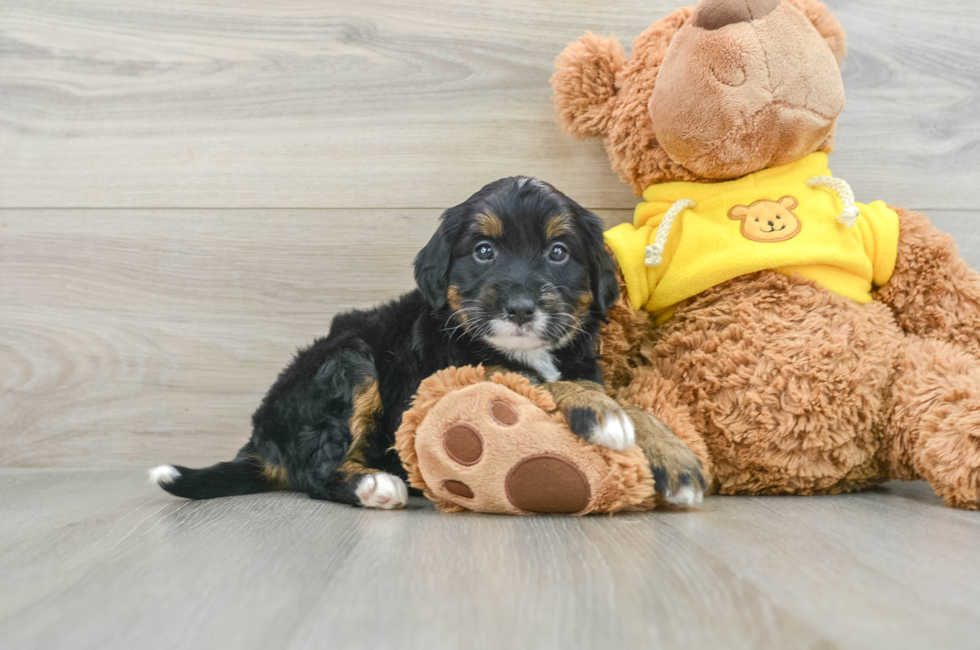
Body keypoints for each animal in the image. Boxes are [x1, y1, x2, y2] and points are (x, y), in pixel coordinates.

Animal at [151, 176, 704, 506]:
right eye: (483, 251)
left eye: (558, 252)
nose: (520, 308)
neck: (529, 348)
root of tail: (261, 439)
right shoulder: (452, 371)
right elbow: (532, 380)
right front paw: (601, 413)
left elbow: (629, 401)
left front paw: (673, 456)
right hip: (350, 361)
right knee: (313, 470)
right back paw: (372, 484)